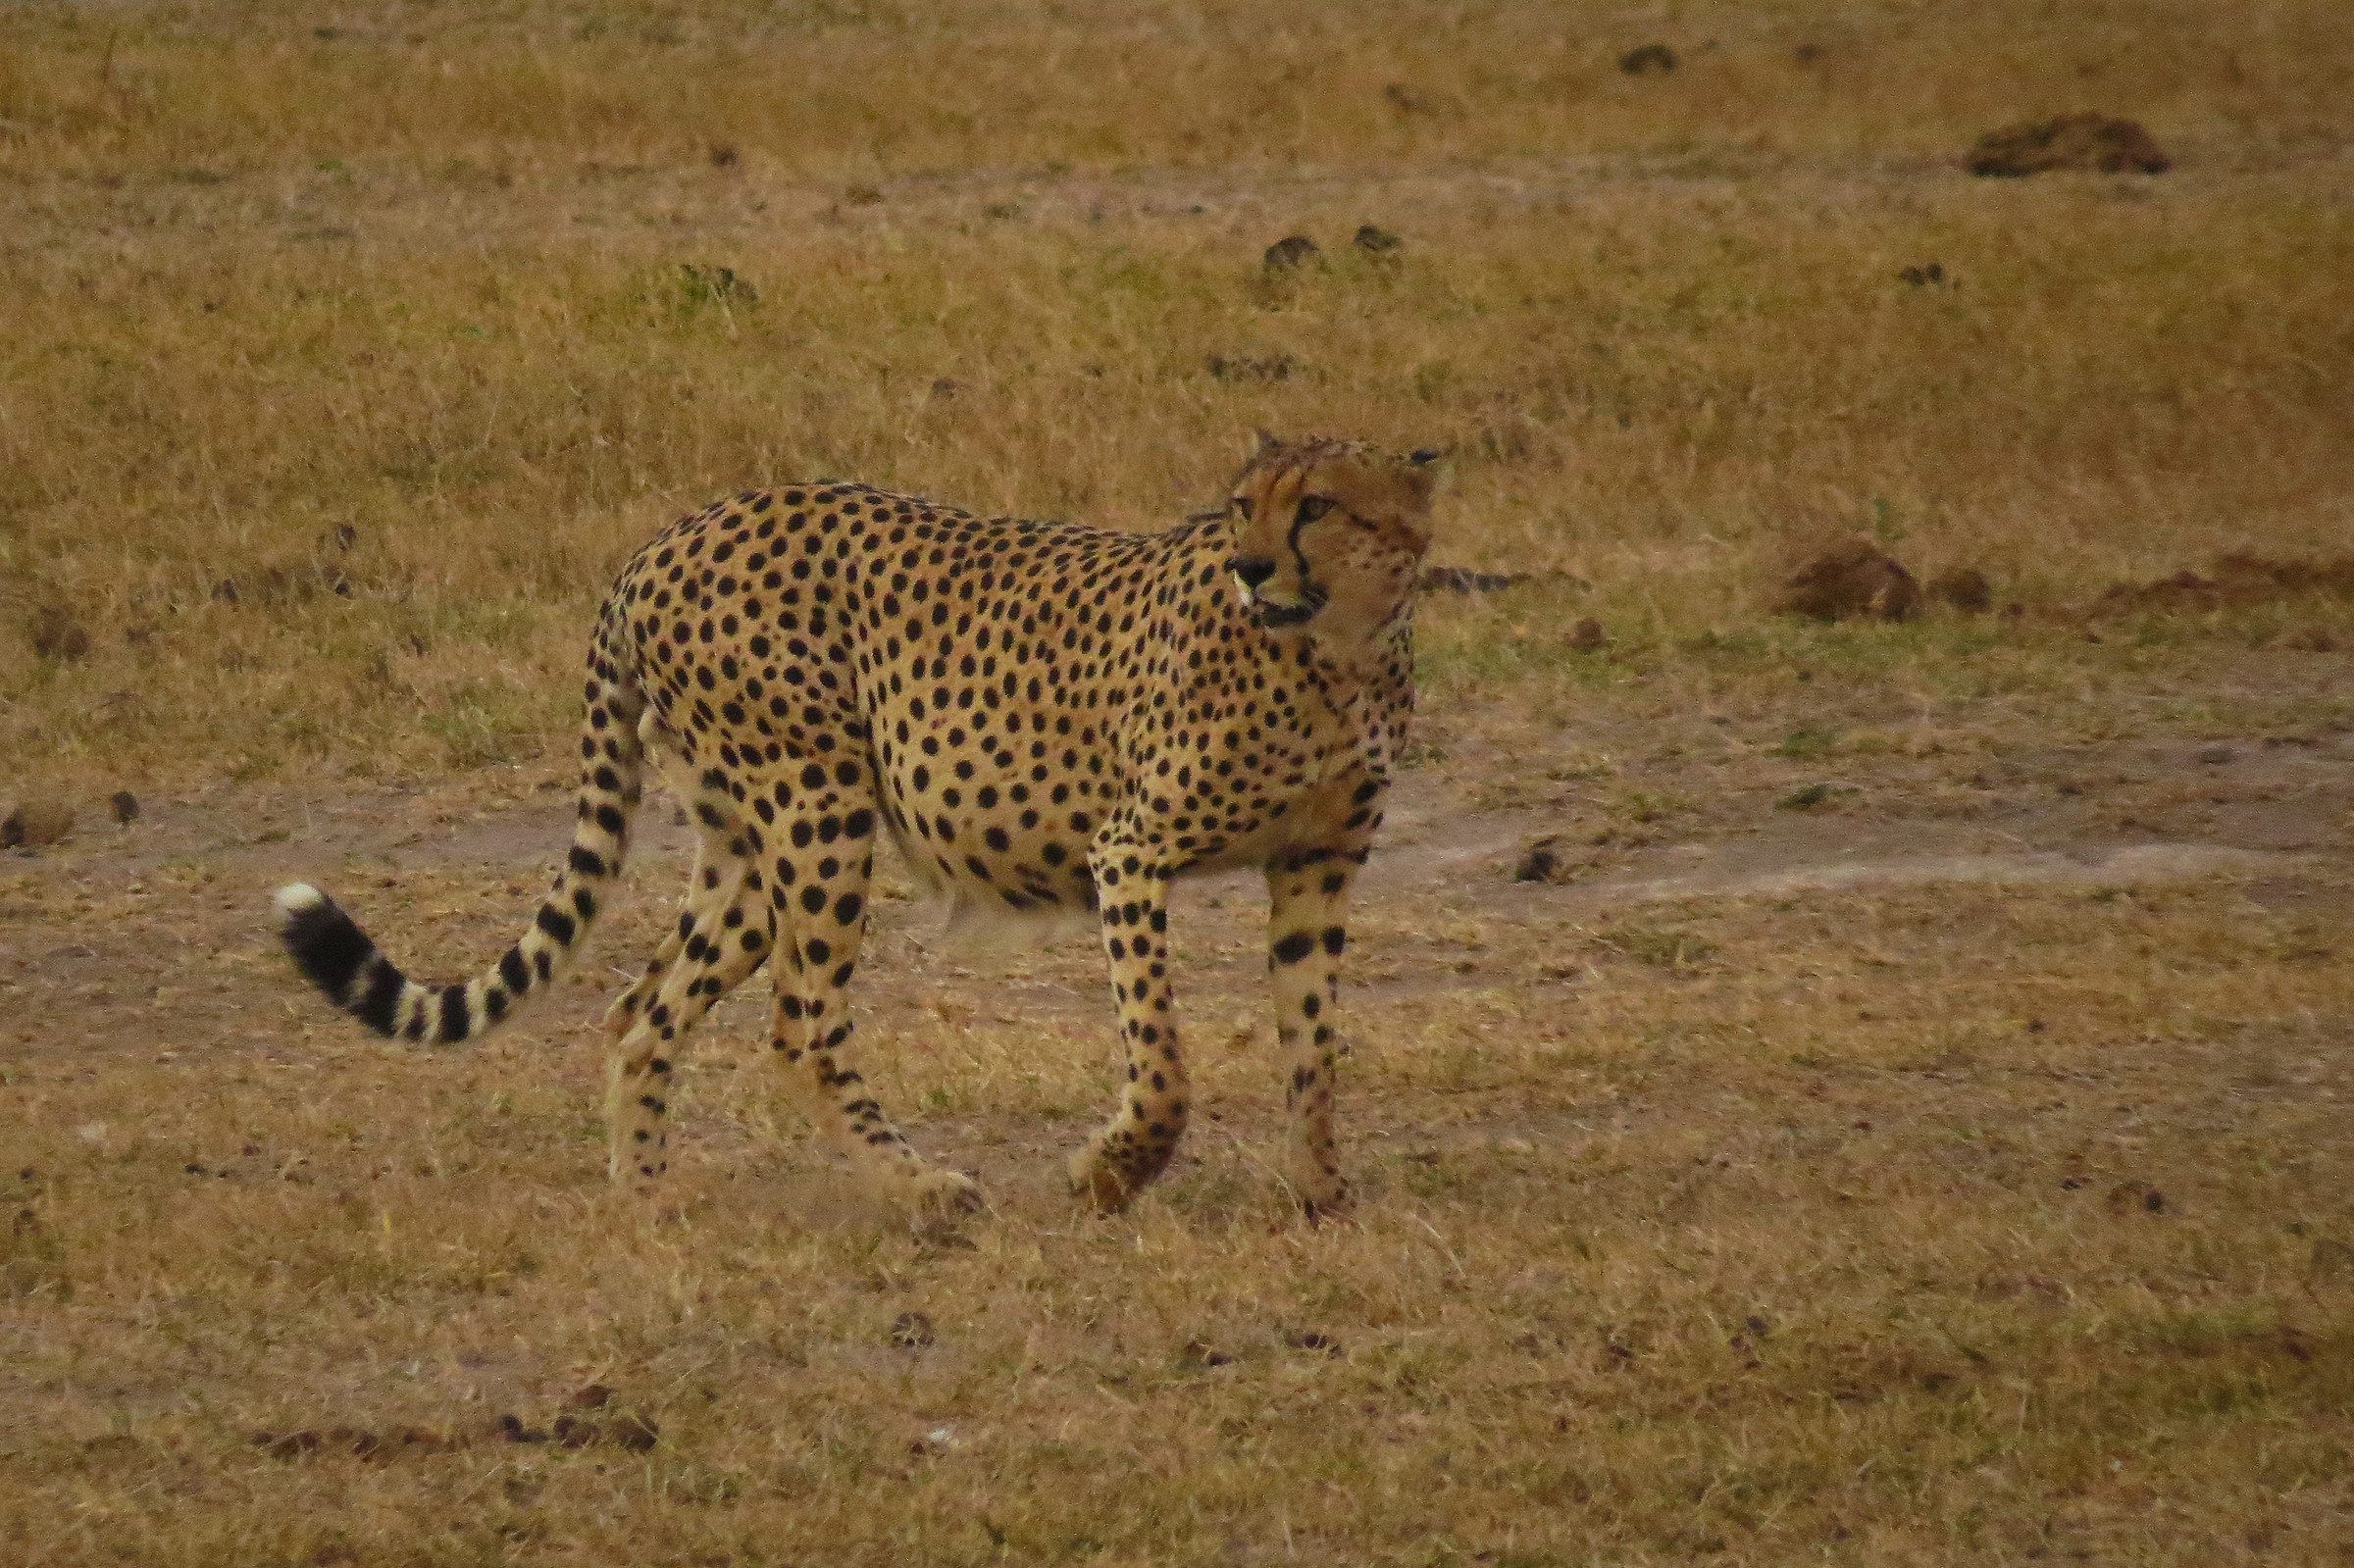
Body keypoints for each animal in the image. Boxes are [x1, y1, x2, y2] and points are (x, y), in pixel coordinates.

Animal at [274, 431, 1445, 1219]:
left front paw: (1323, 1192)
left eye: (1319, 507)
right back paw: (919, 1188)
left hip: (751, 848)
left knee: (642, 1007)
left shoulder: (1319, 862)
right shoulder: (1130, 853)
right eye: (1244, 505)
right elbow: (1161, 1064)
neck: (1335, 654)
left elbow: (1312, 1042)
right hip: (820, 810)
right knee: (800, 1026)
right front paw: (1109, 1175)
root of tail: (671, 534)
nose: (1251, 566)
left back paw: (648, 1203)